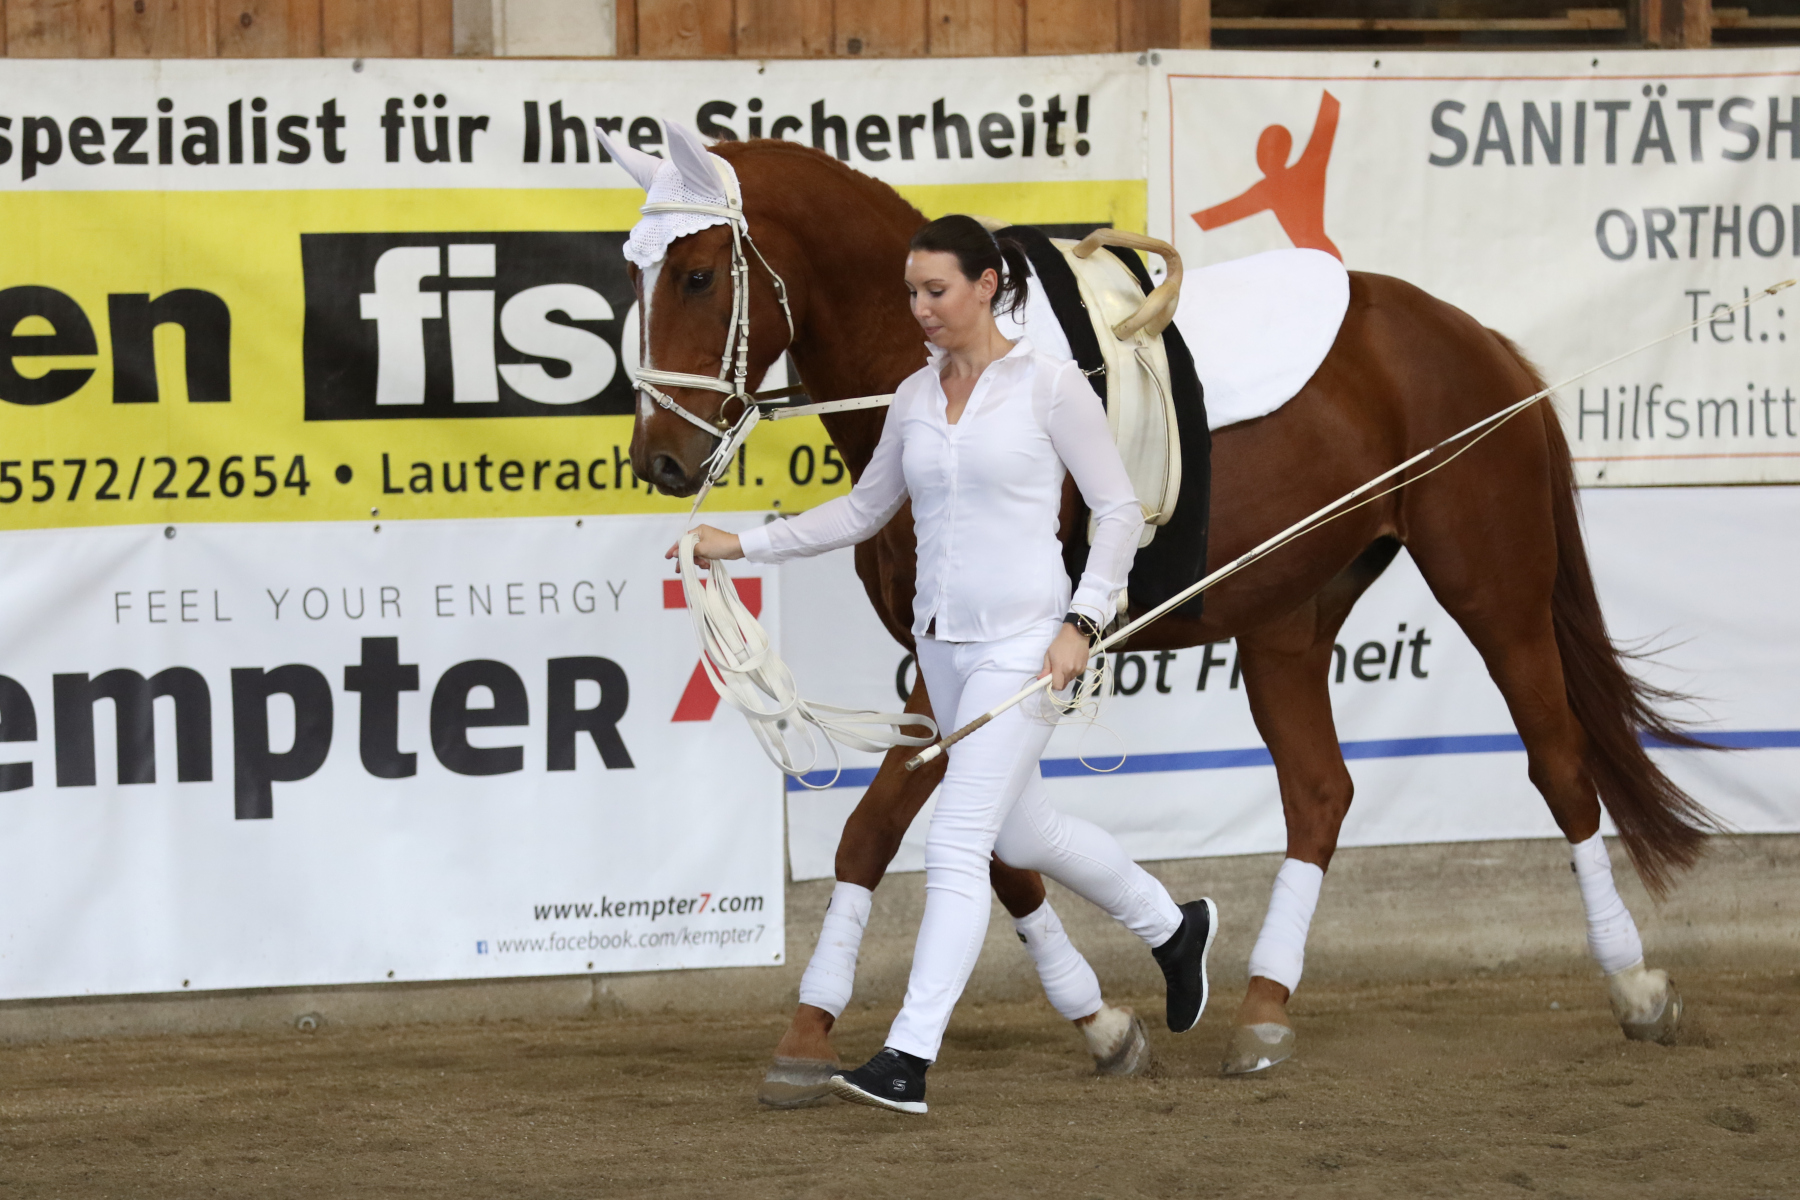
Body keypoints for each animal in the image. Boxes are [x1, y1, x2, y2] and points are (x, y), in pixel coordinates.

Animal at [621, 135, 1714, 1087]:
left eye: (697, 276)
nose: (659, 462)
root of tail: (1479, 340)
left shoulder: (981, 679)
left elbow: (884, 833)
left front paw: (811, 1028)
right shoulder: (948, 676)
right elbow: (998, 855)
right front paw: (1102, 1023)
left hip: (1494, 587)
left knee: (1559, 767)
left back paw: (1635, 986)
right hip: (1287, 619)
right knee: (1319, 794)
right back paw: (1264, 1011)